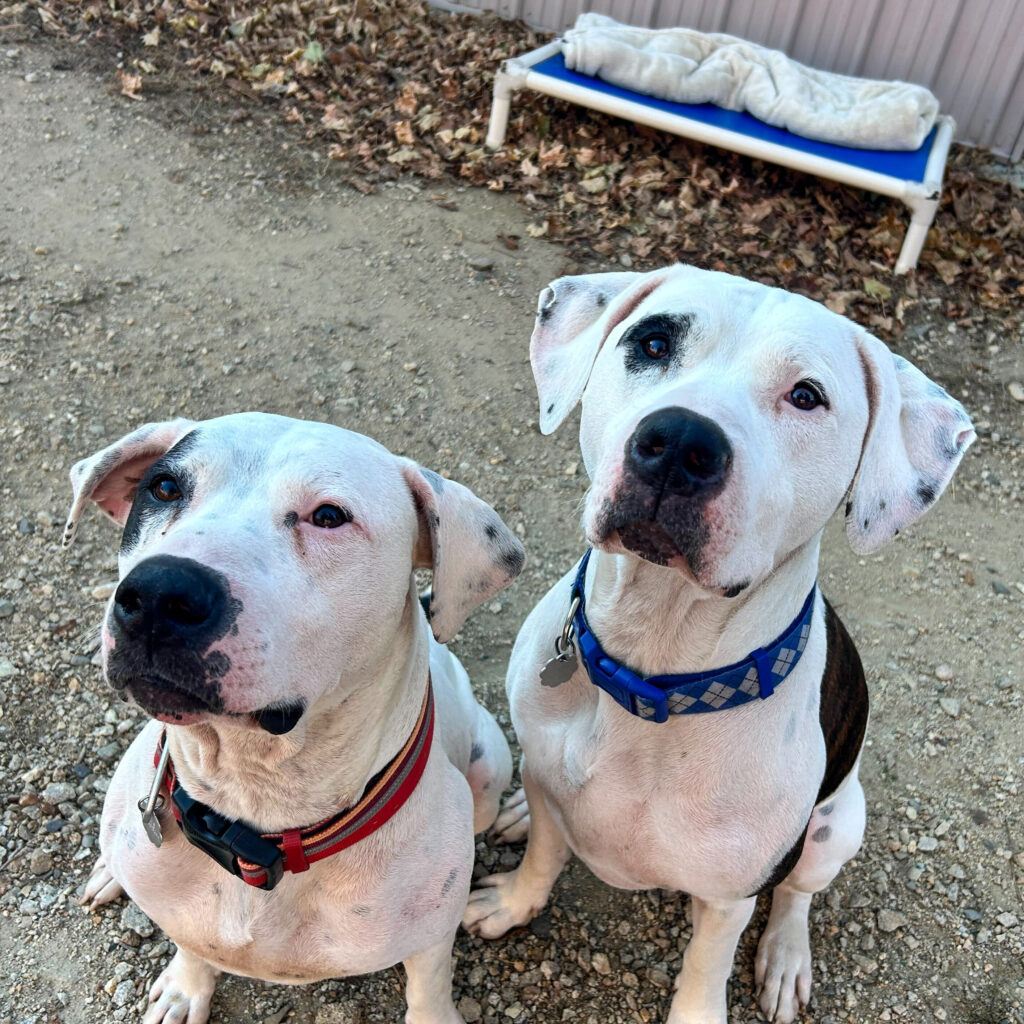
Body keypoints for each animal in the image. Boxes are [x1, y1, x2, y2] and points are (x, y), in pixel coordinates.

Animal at [68, 413, 524, 1024]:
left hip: (488, 771)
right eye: (163, 488)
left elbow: (429, 988)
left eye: (329, 516)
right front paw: (186, 988)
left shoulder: (431, 937)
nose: (161, 592)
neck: (257, 800)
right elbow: (192, 945)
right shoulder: (183, 909)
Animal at [466, 266, 974, 1024]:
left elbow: (708, 962)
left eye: (806, 396)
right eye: (652, 341)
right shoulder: (554, 789)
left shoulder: (731, 892)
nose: (679, 441)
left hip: (835, 829)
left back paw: (787, 958)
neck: (653, 667)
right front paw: (514, 900)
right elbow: (544, 859)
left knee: (796, 895)